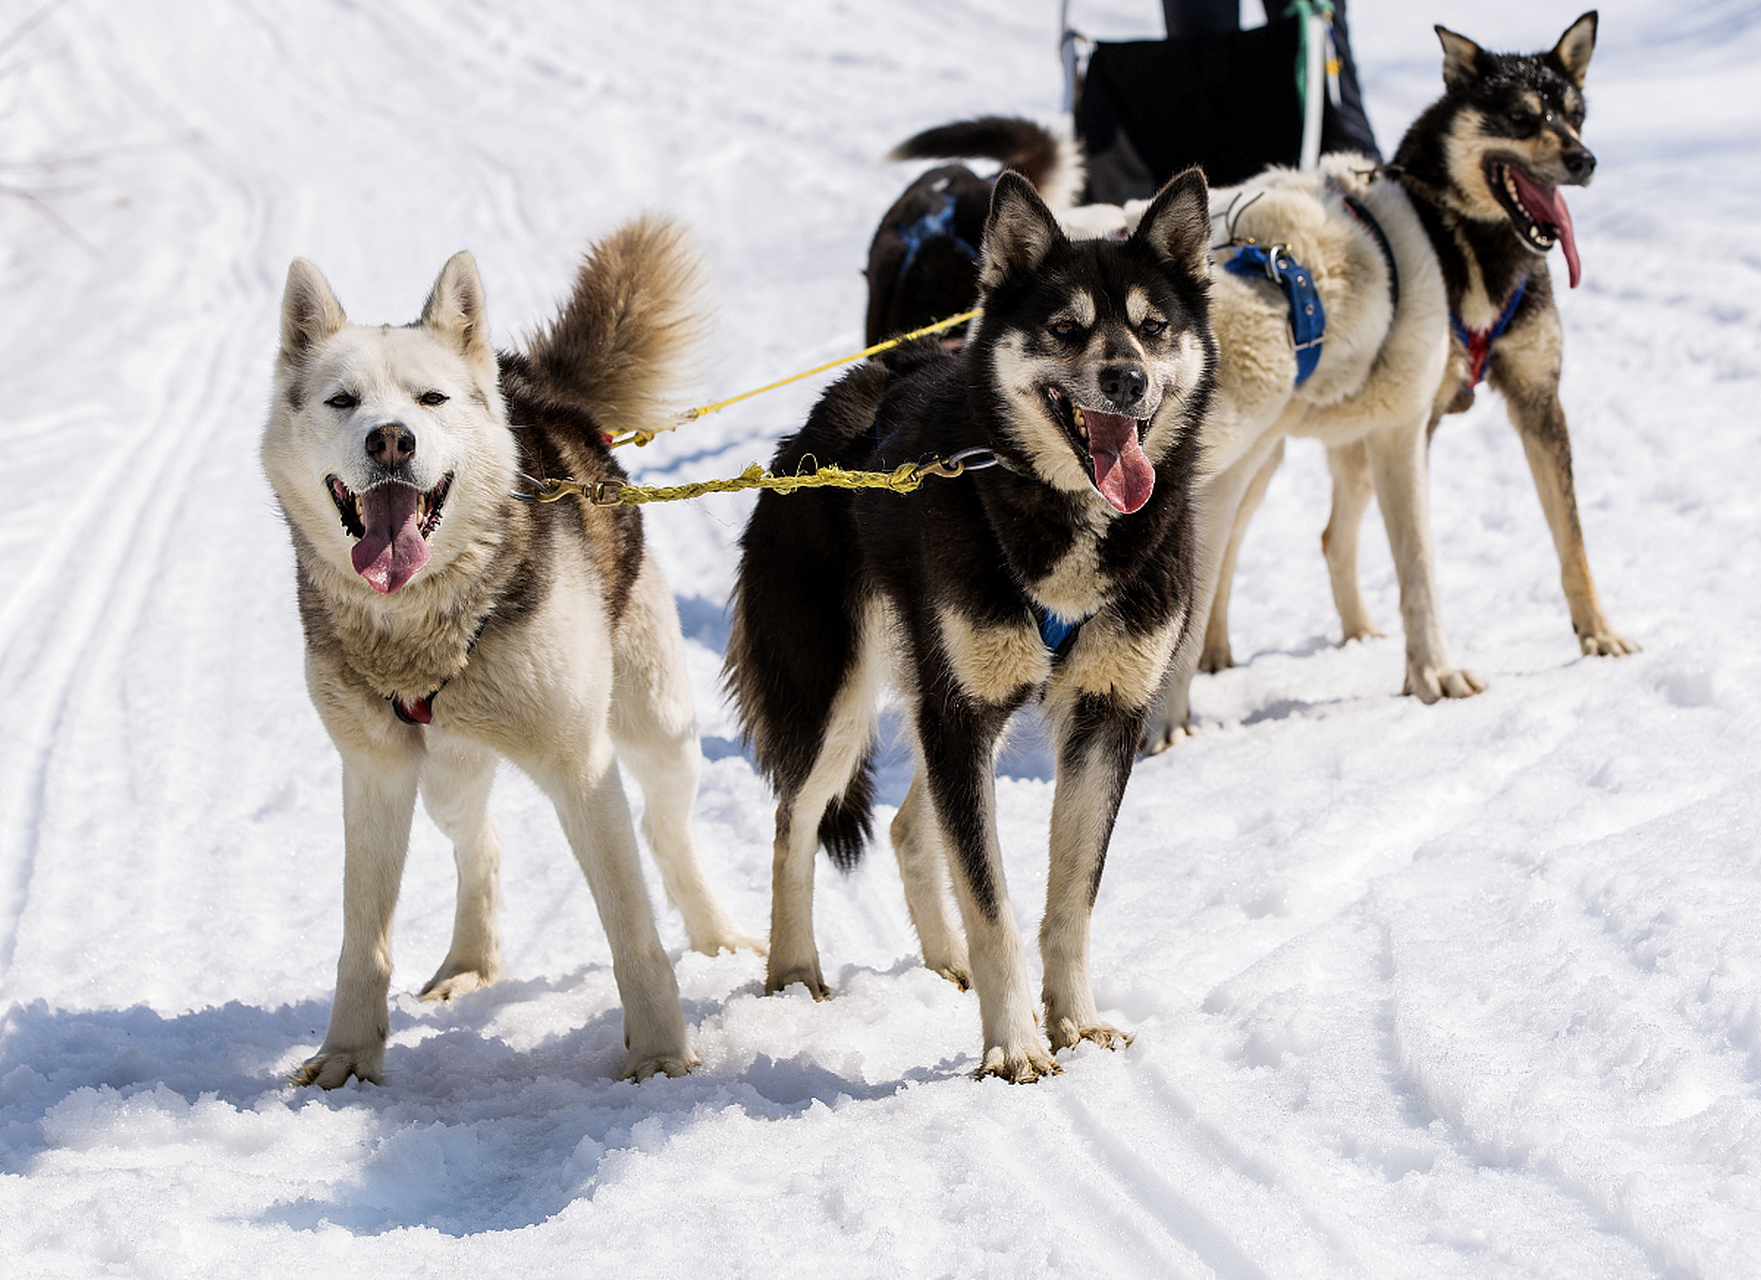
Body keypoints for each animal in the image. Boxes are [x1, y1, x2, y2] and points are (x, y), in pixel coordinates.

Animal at [257, 220, 753, 1091]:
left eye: (430, 399)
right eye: (342, 401)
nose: (391, 438)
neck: (421, 625)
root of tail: (535, 385)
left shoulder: (580, 767)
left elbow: (631, 929)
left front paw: (660, 1052)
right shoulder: (375, 773)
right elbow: (362, 940)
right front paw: (348, 1054)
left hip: (657, 729)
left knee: (666, 833)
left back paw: (715, 935)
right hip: (446, 777)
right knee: (480, 841)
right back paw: (469, 963)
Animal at [722, 172, 1218, 1084]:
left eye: (1153, 325)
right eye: (1066, 328)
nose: (1126, 380)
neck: (1058, 518)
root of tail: (824, 415)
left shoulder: (1103, 718)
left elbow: (1070, 897)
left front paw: (1074, 1022)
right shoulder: (964, 716)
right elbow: (993, 904)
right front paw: (1015, 1045)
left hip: (940, 702)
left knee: (910, 827)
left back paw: (942, 960)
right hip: (839, 705)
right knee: (793, 822)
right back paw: (795, 971)